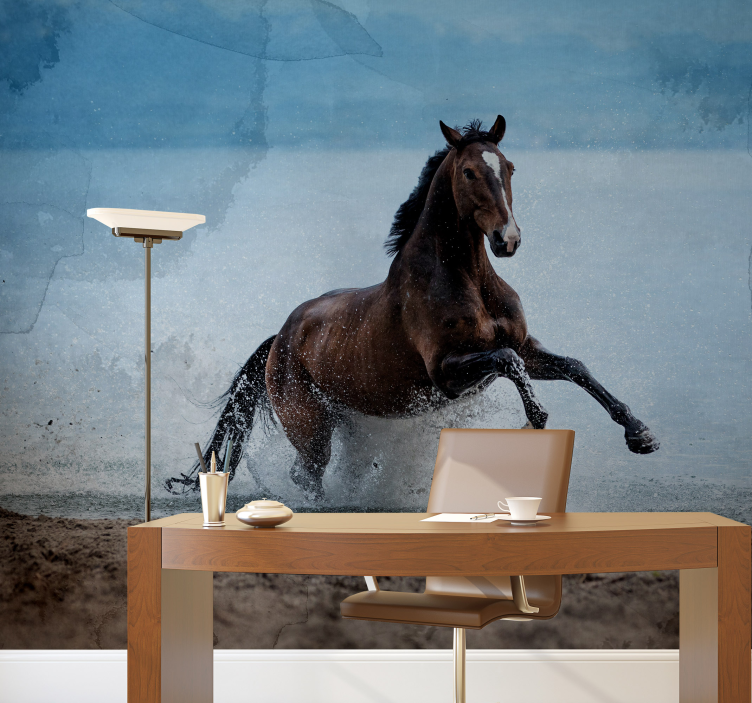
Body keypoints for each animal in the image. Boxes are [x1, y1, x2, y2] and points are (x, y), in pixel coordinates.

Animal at [167, 116, 659, 500]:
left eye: (509, 167)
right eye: (468, 172)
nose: (508, 239)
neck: (466, 280)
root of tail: (279, 338)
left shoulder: (526, 346)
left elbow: (573, 366)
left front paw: (640, 434)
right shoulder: (445, 372)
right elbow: (507, 360)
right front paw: (535, 419)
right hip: (309, 425)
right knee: (306, 475)